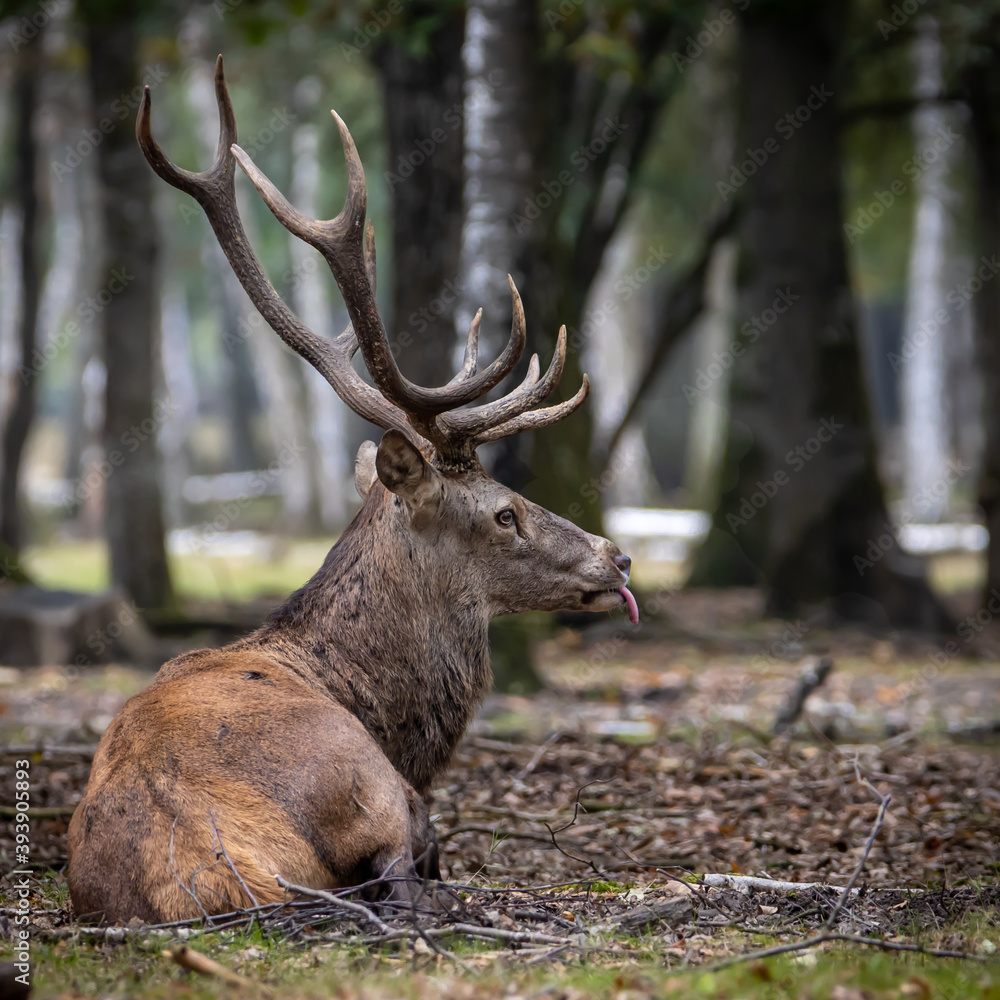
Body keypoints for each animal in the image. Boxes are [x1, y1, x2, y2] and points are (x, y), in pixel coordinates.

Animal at [66, 57, 639, 925]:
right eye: (504, 514)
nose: (618, 555)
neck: (378, 705)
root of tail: (212, 860)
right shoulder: (401, 790)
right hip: (369, 790)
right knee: (401, 880)